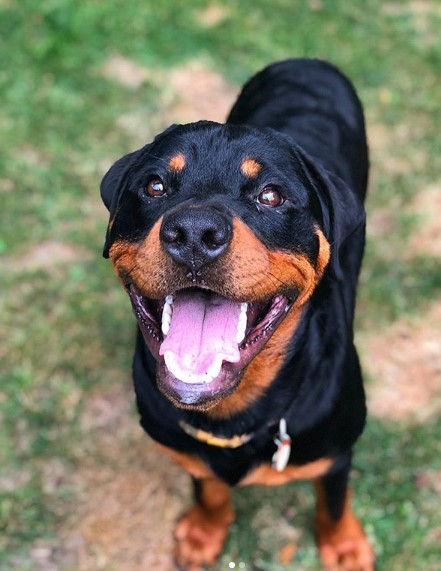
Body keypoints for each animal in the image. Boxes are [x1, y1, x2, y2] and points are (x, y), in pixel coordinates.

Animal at [101, 59, 372, 571]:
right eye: (154, 185)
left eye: (271, 196)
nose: (194, 231)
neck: (232, 414)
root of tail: (306, 61)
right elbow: (207, 487)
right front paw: (204, 532)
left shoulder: (336, 451)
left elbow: (333, 500)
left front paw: (344, 546)